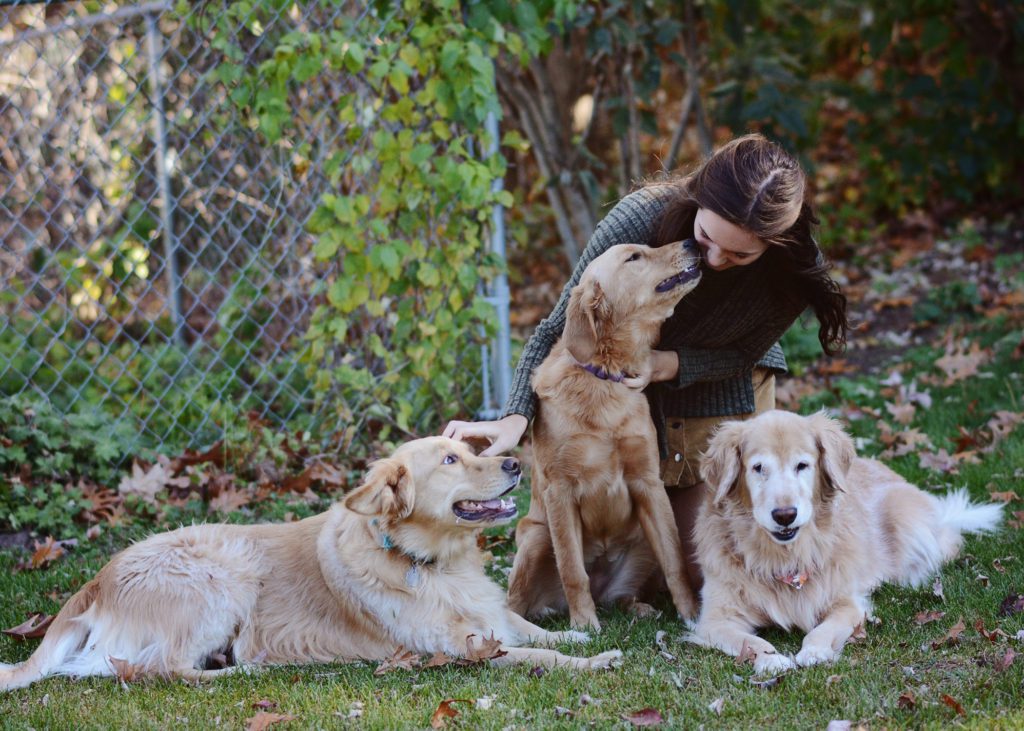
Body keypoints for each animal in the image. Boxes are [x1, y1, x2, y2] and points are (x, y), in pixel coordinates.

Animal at [0, 436, 618, 688]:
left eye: (473, 449)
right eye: (450, 460)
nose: (515, 463)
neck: (431, 560)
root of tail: (95, 581)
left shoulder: (487, 615)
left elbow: (526, 626)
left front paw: (581, 636)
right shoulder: (459, 650)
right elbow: (535, 652)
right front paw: (598, 660)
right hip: (223, 574)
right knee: (162, 669)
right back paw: (244, 671)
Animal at [505, 239, 700, 626]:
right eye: (634, 257)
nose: (691, 241)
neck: (605, 376)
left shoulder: (649, 483)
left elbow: (675, 562)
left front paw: (693, 616)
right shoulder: (560, 492)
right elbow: (572, 569)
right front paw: (584, 623)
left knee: (625, 594)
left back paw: (638, 607)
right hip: (536, 537)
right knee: (514, 603)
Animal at [688, 409, 999, 671]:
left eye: (802, 465)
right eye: (758, 468)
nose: (785, 515)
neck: (785, 555)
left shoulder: (847, 604)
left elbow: (821, 630)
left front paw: (814, 651)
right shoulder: (715, 620)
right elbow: (750, 640)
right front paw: (771, 658)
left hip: (905, 517)